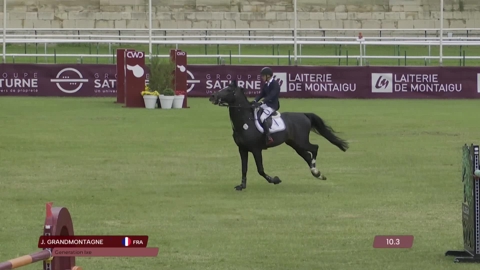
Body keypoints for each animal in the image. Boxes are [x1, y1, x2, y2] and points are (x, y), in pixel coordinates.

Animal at [210, 79, 348, 190]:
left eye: (228, 90)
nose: (212, 96)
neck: (245, 122)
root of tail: (304, 114)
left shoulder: (256, 149)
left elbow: (260, 170)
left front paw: (275, 180)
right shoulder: (242, 149)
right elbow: (244, 168)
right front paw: (242, 186)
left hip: (301, 141)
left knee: (315, 148)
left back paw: (315, 171)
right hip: (295, 144)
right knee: (307, 156)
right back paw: (318, 174)